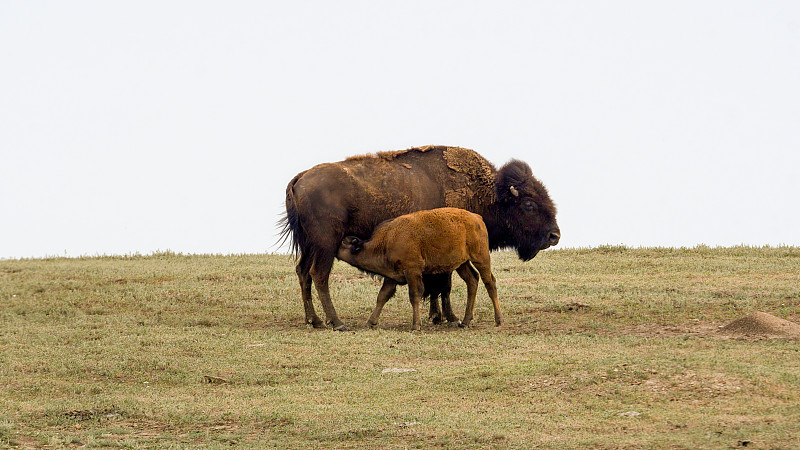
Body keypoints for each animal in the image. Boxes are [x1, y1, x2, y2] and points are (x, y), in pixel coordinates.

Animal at [336, 207, 500, 330]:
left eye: (345, 243)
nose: (335, 248)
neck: (388, 239)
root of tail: (477, 218)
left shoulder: (412, 271)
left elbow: (414, 295)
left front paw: (416, 325)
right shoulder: (391, 276)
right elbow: (382, 296)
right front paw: (370, 322)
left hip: (481, 258)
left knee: (489, 282)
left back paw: (498, 319)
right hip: (462, 264)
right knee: (472, 281)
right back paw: (465, 322)